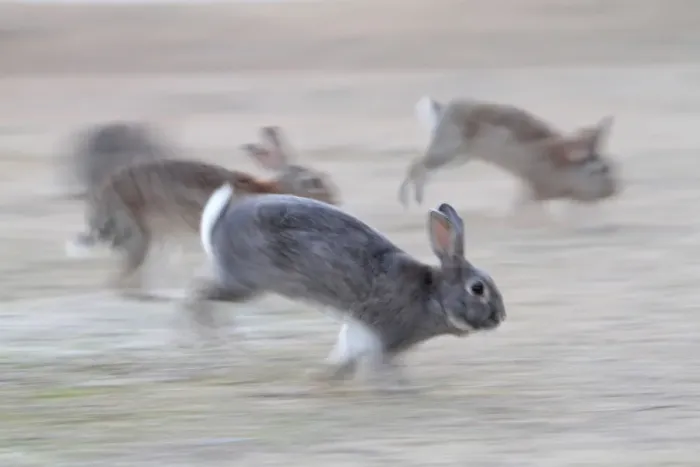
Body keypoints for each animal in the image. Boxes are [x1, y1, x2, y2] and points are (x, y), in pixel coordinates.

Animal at [65, 126, 339, 300]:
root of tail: (102, 200)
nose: (335, 200)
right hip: (139, 233)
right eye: (314, 182)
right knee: (122, 278)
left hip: (158, 240)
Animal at [185, 184, 506, 390]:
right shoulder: (383, 336)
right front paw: (396, 387)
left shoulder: (360, 329)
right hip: (245, 283)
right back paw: (203, 337)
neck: (434, 296)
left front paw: (324, 377)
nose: (500, 317)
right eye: (478, 288)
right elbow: (377, 363)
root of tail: (219, 224)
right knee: (194, 297)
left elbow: (347, 352)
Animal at [399, 96, 620, 213]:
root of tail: (444, 109)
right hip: (447, 151)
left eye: (611, 167)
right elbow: (528, 203)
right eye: (599, 170)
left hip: (458, 157)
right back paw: (408, 201)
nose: (614, 190)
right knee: (416, 166)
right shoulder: (536, 188)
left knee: (421, 168)